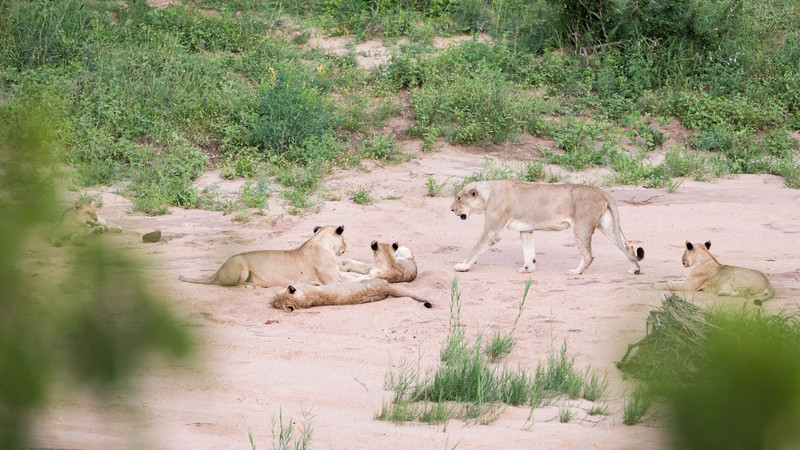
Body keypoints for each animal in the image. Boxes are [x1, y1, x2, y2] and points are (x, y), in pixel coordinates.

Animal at [178, 225, 348, 287]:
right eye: (343, 238)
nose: (346, 247)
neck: (319, 240)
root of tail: (220, 268)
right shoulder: (333, 279)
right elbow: (350, 279)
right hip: (241, 267)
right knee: (232, 285)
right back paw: (251, 286)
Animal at [450, 179, 644, 274]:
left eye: (458, 197)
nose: (451, 209)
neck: (487, 192)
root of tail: (601, 190)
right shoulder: (526, 229)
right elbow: (528, 251)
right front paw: (527, 269)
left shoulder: (493, 230)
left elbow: (476, 248)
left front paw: (463, 266)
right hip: (608, 226)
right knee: (628, 246)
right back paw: (634, 269)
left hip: (582, 227)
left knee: (589, 255)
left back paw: (575, 272)